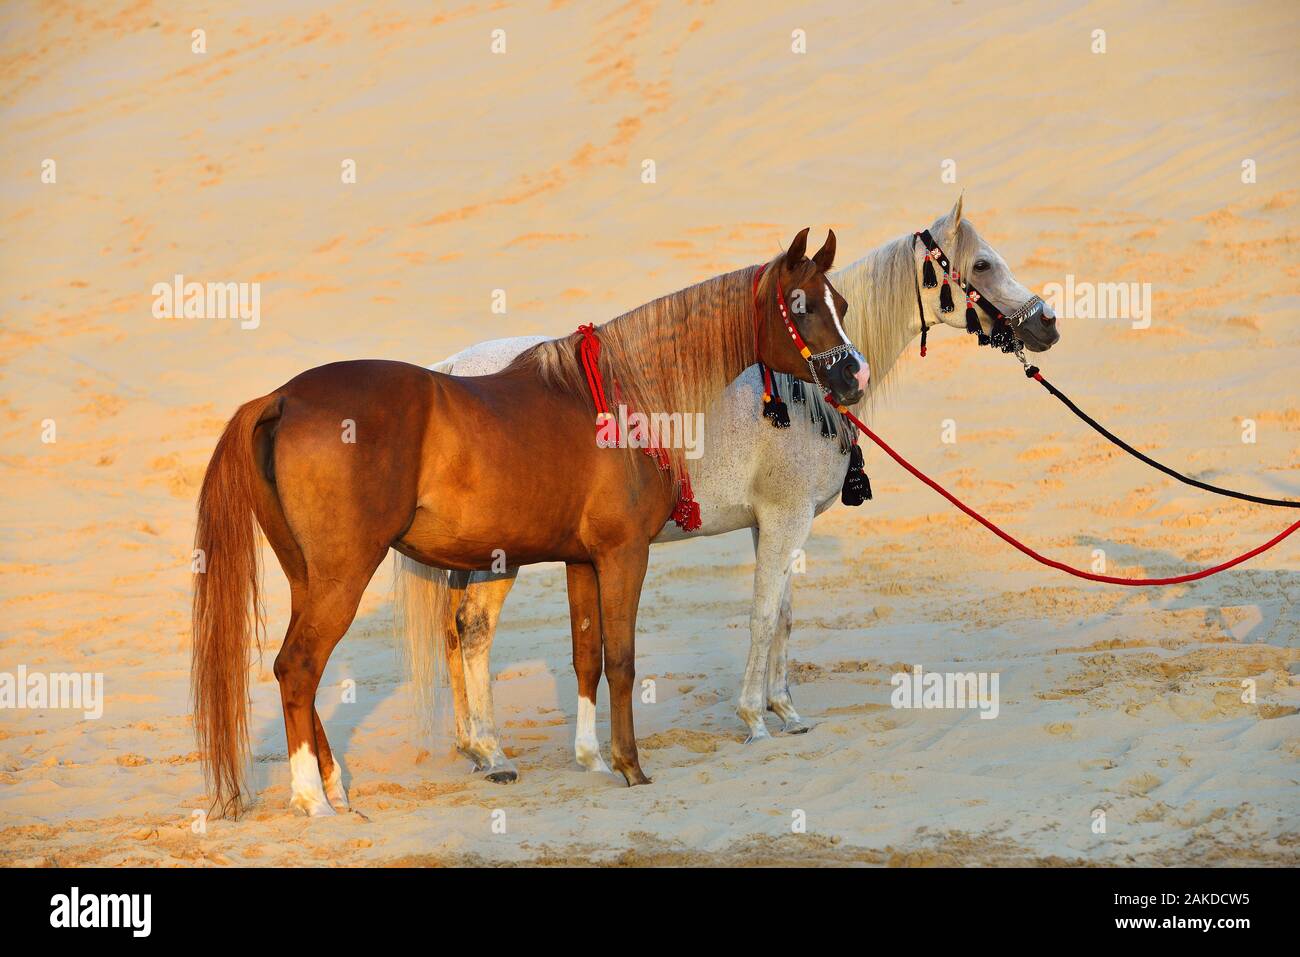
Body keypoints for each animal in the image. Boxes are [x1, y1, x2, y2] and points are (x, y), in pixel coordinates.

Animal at [191, 227, 868, 816]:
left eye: (842, 303)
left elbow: (586, 655)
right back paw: (314, 801)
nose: (853, 374)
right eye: (802, 305)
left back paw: (339, 788)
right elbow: (623, 659)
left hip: (308, 577)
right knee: (298, 667)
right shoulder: (625, 554)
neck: (624, 396)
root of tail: (282, 398)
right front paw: (631, 765)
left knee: (301, 671)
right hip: (343, 576)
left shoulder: (581, 559)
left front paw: (592, 759)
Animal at [403, 197, 1061, 779]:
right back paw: (492, 752)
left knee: (453, 634)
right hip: (498, 555)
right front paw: (755, 718)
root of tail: (451, 371)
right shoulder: (786, 519)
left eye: (843, 304)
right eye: (982, 265)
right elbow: (763, 616)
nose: (1046, 322)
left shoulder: (770, 524)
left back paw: (476, 748)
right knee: (474, 632)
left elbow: (785, 616)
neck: (799, 389)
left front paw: (786, 710)